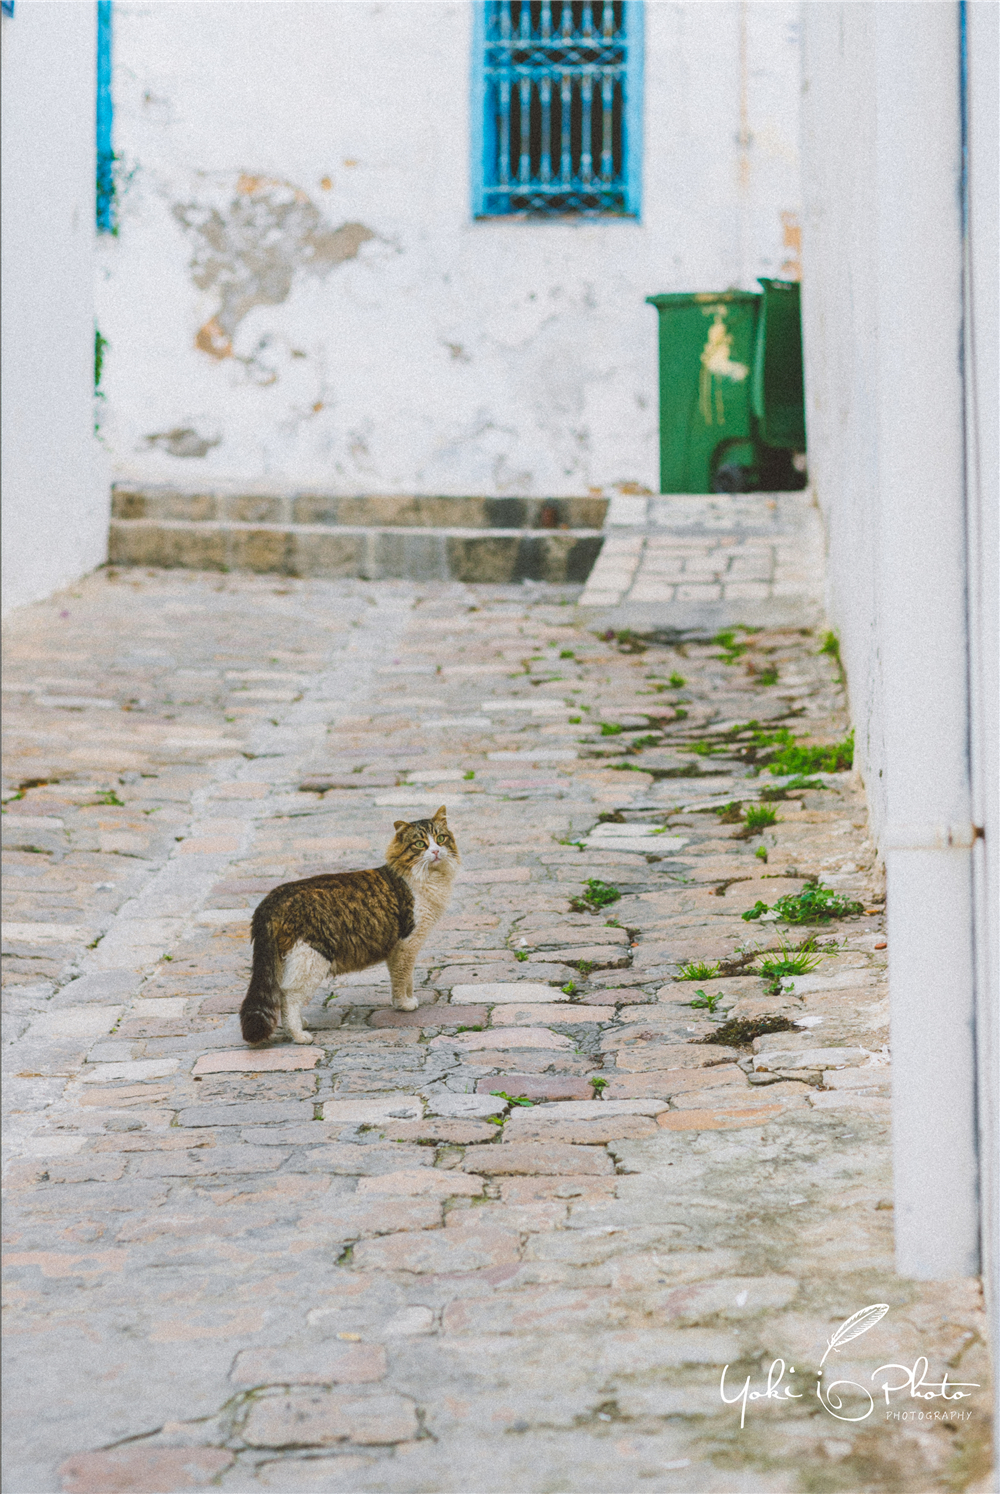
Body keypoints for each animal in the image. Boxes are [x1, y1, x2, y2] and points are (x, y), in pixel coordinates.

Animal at [239, 812, 457, 1045]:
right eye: (420, 844)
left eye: (441, 838)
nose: (435, 851)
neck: (427, 879)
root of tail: (272, 898)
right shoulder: (406, 944)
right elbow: (403, 979)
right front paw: (405, 1004)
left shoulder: (399, 950)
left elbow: (406, 979)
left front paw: (406, 999)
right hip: (312, 958)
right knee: (289, 997)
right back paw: (298, 1035)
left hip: (287, 960)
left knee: (281, 994)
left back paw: (300, 1024)